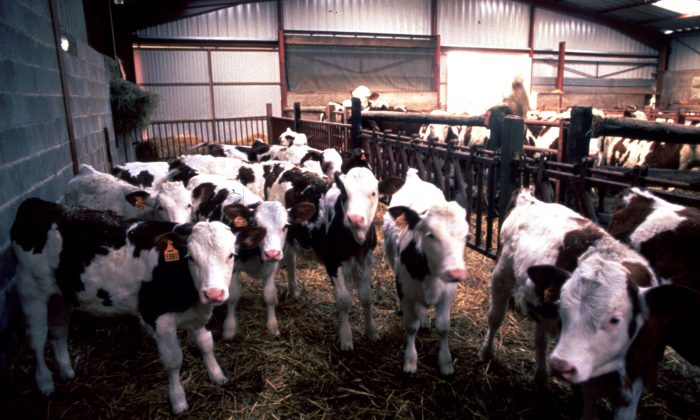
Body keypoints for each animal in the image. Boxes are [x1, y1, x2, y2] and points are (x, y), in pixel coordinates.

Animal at [10, 199, 268, 416]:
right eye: (191, 258)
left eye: (231, 255)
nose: (213, 293)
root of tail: (36, 203)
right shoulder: (158, 317)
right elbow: (173, 359)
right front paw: (178, 400)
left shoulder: (198, 312)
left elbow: (206, 344)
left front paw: (217, 375)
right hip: (30, 290)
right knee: (37, 337)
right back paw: (45, 383)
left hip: (61, 295)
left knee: (59, 330)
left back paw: (66, 370)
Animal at [382, 170, 470, 374]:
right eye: (430, 234)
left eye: (466, 235)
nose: (456, 273)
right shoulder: (406, 291)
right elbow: (410, 326)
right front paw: (410, 361)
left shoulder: (448, 294)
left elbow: (443, 327)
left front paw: (445, 362)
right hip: (390, 257)